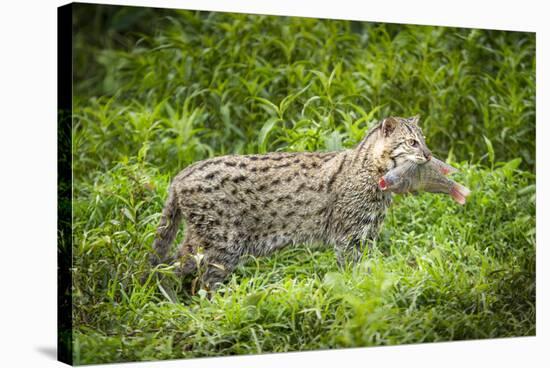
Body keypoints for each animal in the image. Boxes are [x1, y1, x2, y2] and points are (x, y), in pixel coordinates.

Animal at [152, 115, 436, 290]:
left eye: (424, 139)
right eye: (412, 142)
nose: (428, 154)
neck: (375, 171)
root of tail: (182, 174)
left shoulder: (367, 235)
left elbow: (370, 267)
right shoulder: (349, 236)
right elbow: (352, 270)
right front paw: (356, 289)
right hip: (222, 244)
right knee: (192, 279)